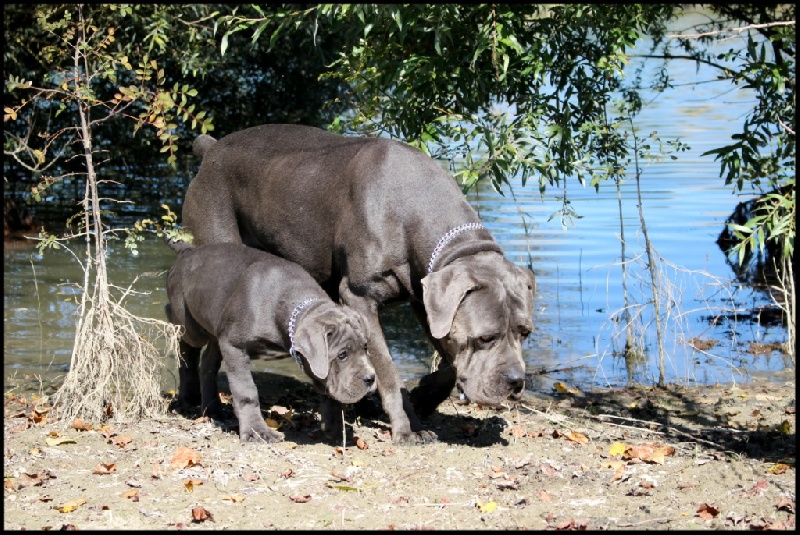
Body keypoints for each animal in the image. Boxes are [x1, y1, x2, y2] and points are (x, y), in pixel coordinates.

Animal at [164, 238, 376, 443]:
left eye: (365, 348)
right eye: (342, 355)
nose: (370, 378)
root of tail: (188, 251)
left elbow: (329, 390)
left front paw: (335, 427)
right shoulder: (234, 346)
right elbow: (246, 391)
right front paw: (256, 432)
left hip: (219, 329)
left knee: (208, 361)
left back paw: (212, 408)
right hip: (193, 328)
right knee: (184, 345)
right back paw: (188, 397)